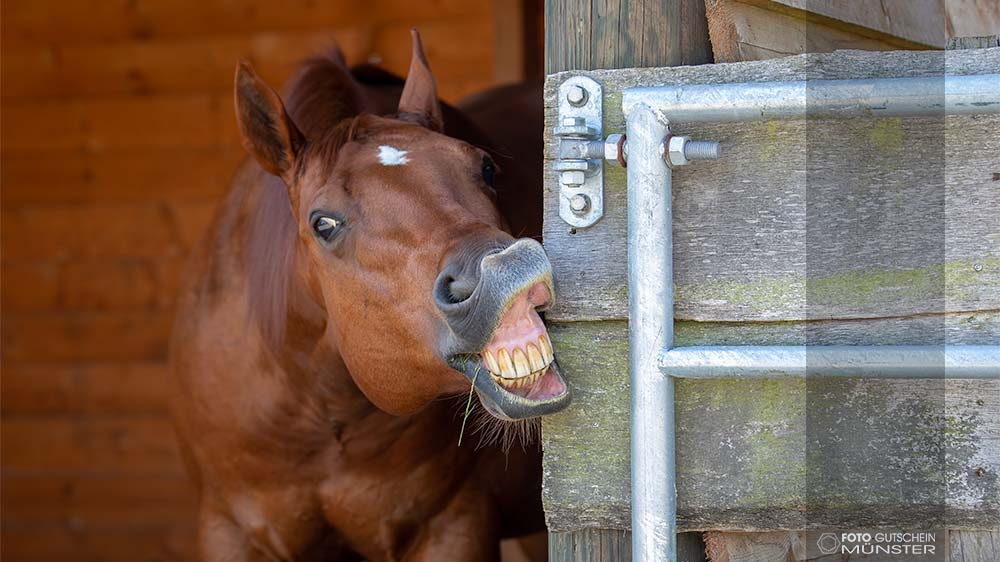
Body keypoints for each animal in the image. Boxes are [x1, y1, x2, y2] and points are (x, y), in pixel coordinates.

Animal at [168, 31, 568, 560]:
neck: (315, 408)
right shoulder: (228, 530)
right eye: (324, 224)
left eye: (484, 168)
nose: (508, 272)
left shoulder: (452, 525)